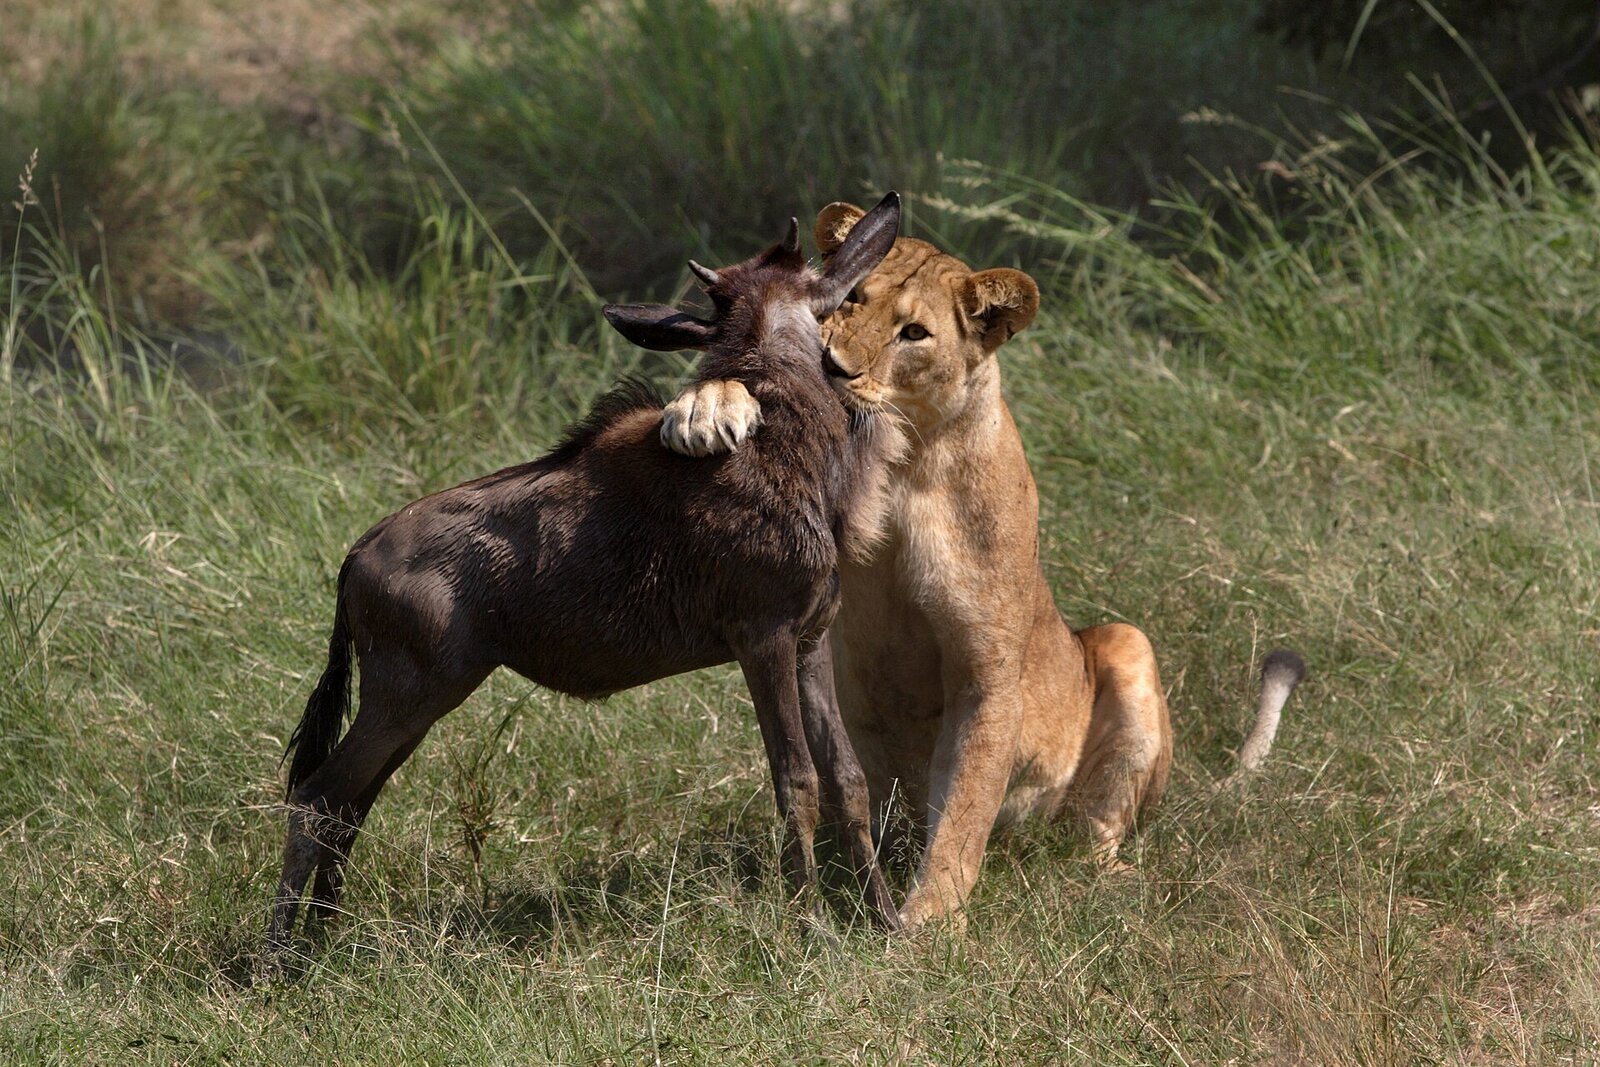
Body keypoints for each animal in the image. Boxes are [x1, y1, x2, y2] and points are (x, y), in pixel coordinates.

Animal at [661, 203, 1306, 928]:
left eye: (914, 333)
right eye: (849, 298)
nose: (832, 367)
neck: (905, 465)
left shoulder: (987, 670)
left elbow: (964, 810)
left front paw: (927, 925)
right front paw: (704, 406)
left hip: (1125, 647)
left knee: (1089, 835)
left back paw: (1102, 883)